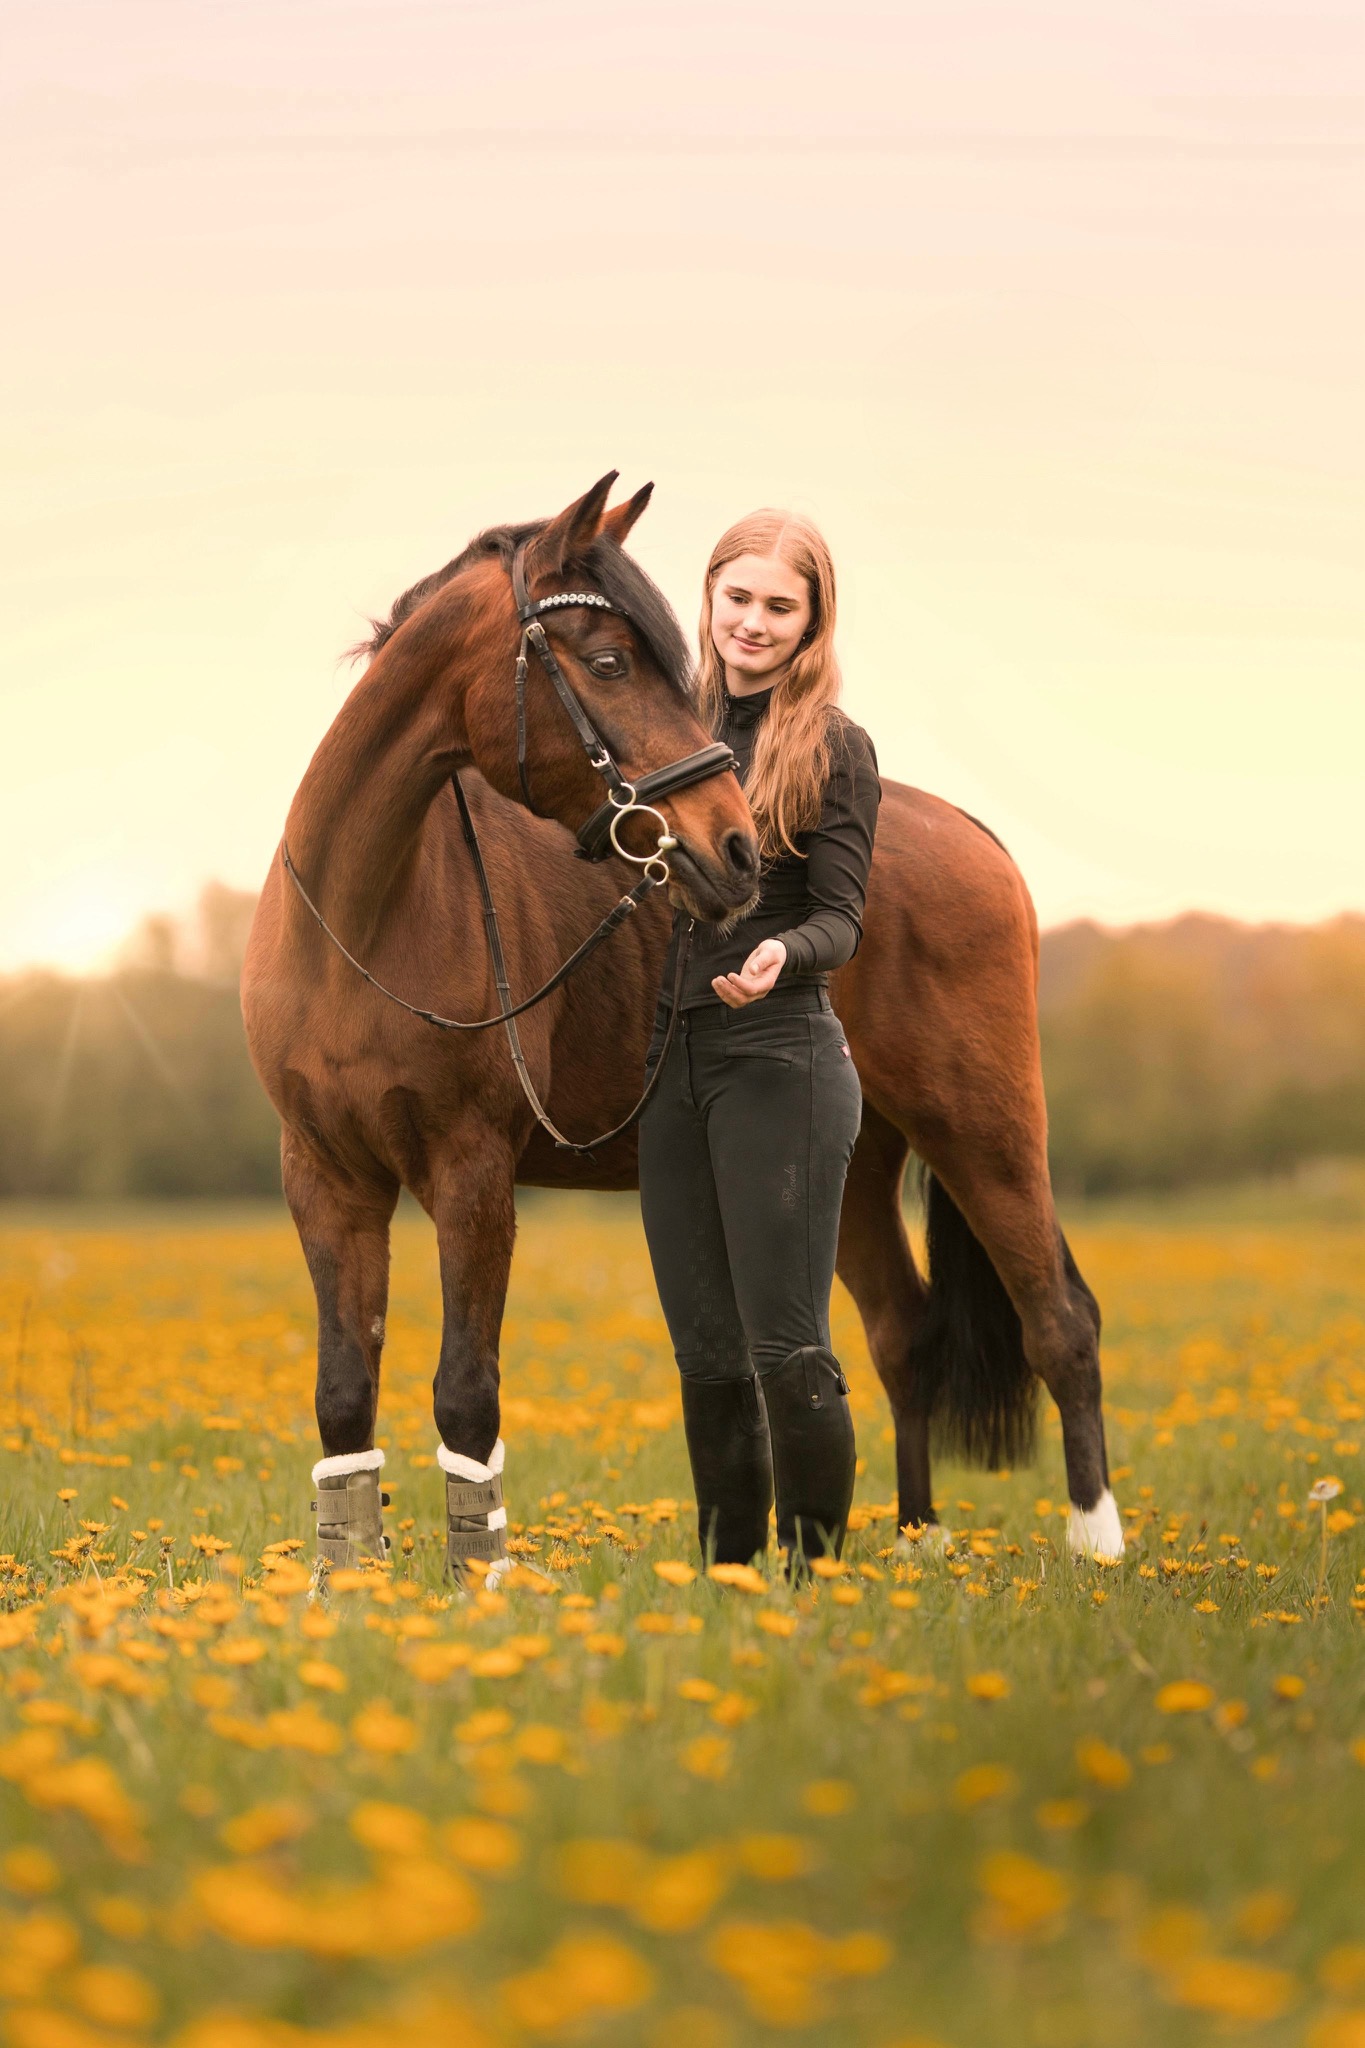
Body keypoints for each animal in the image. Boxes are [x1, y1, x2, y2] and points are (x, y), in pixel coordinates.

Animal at [241, 474, 1123, 1574]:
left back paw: (1097, 1547)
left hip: (984, 1133)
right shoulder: (326, 1175)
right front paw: (347, 1585)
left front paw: (480, 1579)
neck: (363, 916)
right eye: (610, 662)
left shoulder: (472, 1171)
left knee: (1060, 1323)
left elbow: (466, 1391)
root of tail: (971, 836)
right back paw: (916, 1545)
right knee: (902, 1335)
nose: (736, 846)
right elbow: (343, 1396)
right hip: (857, 1168)